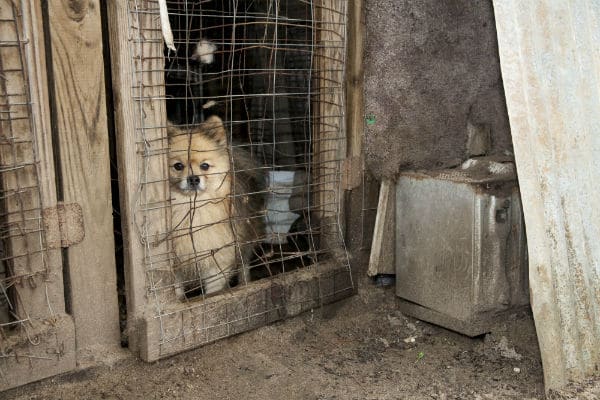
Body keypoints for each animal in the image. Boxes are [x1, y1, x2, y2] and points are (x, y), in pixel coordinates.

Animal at [168, 115, 264, 296]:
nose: (193, 179)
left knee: (244, 265)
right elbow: (176, 288)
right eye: (178, 166)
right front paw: (179, 299)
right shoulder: (175, 263)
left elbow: (213, 289)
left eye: (205, 166)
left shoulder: (217, 258)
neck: (193, 210)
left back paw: (245, 284)